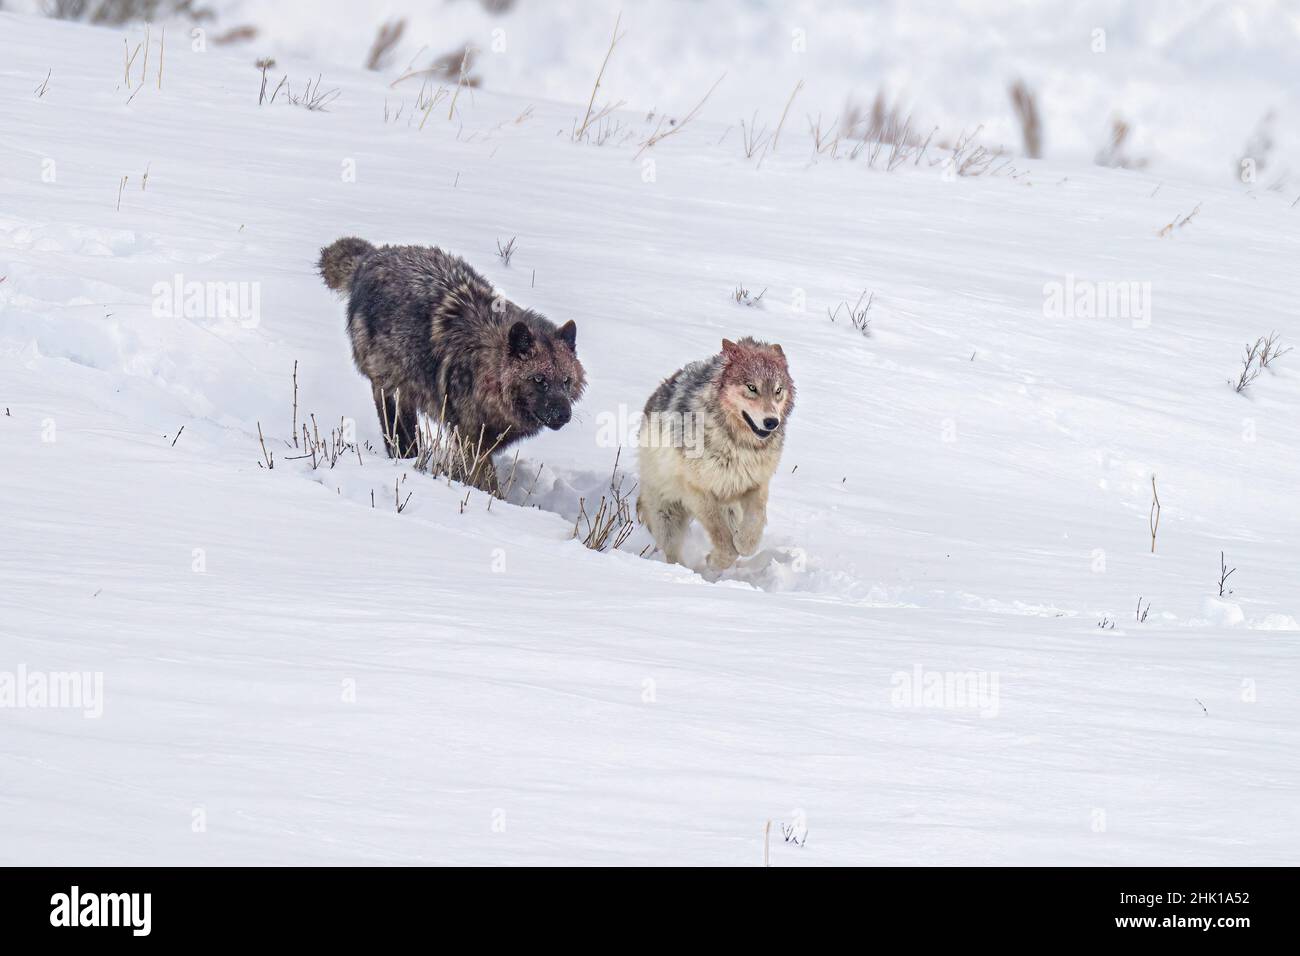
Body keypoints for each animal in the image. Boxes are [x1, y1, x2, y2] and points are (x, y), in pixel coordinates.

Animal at [322, 238, 587, 494]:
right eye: (539, 380)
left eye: (566, 381)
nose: (564, 415)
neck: (485, 367)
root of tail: (371, 257)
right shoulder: (470, 439)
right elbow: (487, 486)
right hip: (389, 386)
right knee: (395, 429)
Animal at [637, 340, 790, 572]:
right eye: (751, 387)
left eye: (778, 390)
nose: (772, 422)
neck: (739, 445)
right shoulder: (698, 492)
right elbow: (723, 542)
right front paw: (714, 561)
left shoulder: (754, 484)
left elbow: (753, 529)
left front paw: (742, 543)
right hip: (667, 514)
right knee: (672, 552)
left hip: (731, 508)